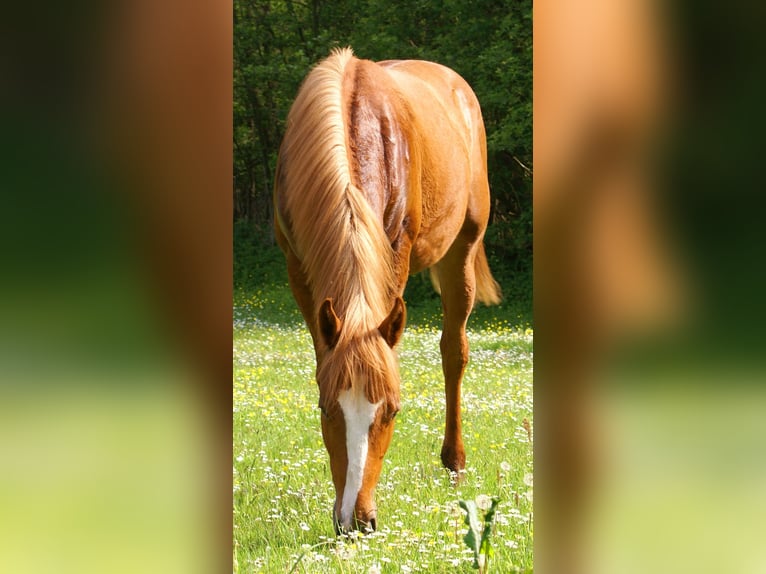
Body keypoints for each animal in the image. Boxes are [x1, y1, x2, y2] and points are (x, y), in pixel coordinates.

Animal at [273, 48, 501, 534]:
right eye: (326, 409)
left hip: (462, 249)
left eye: (393, 410)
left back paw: (454, 463)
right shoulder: (297, 270)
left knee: (454, 351)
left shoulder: (395, 254)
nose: (356, 522)